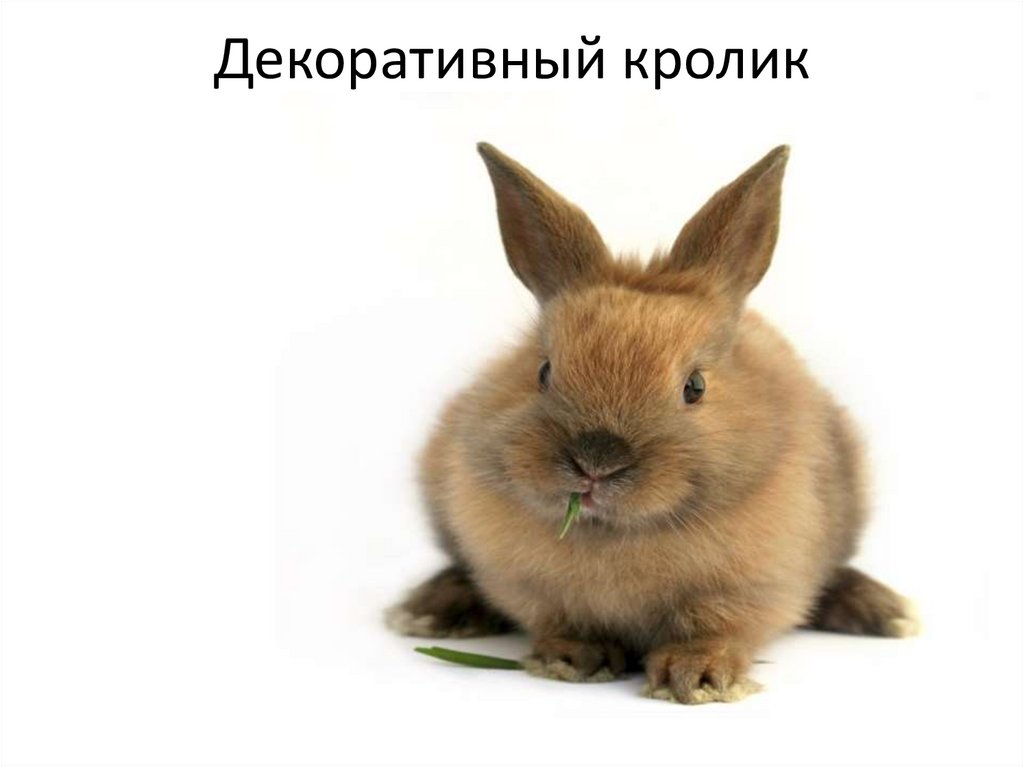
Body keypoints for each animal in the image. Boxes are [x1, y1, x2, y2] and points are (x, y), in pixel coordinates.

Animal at [386, 143, 918, 704]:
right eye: (544, 371)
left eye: (695, 386)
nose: (596, 463)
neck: (617, 532)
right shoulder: (529, 585)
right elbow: (559, 620)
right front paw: (573, 659)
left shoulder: (751, 589)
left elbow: (717, 628)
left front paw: (697, 678)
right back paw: (426, 611)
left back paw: (888, 613)